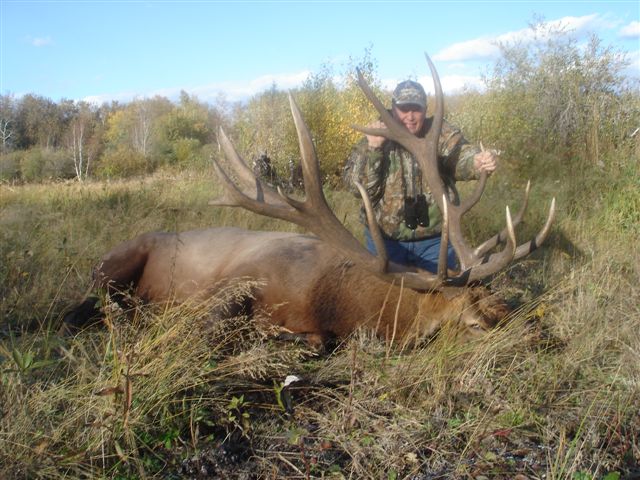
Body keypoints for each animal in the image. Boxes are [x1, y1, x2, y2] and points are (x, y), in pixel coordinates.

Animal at [64, 54, 555, 348]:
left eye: (503, 303)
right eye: (475, 324)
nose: (537, 335)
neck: (334, 301)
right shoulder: (233, 284)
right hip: (115, 264)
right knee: (82, 308)